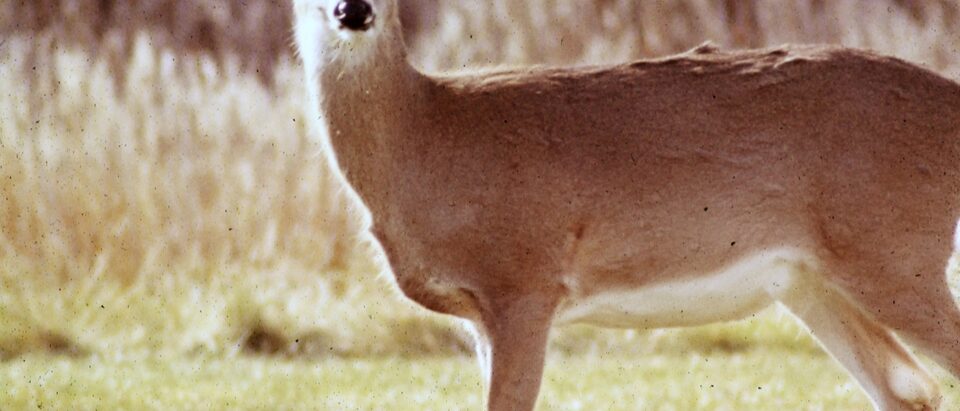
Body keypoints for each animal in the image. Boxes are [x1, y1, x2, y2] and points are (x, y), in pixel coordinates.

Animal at [292, 0, 960, 409]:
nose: (354, 10)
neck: (427, 139)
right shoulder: (480, 313)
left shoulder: (524, 281)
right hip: (813, 284)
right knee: (910, 390)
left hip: (895, 256)